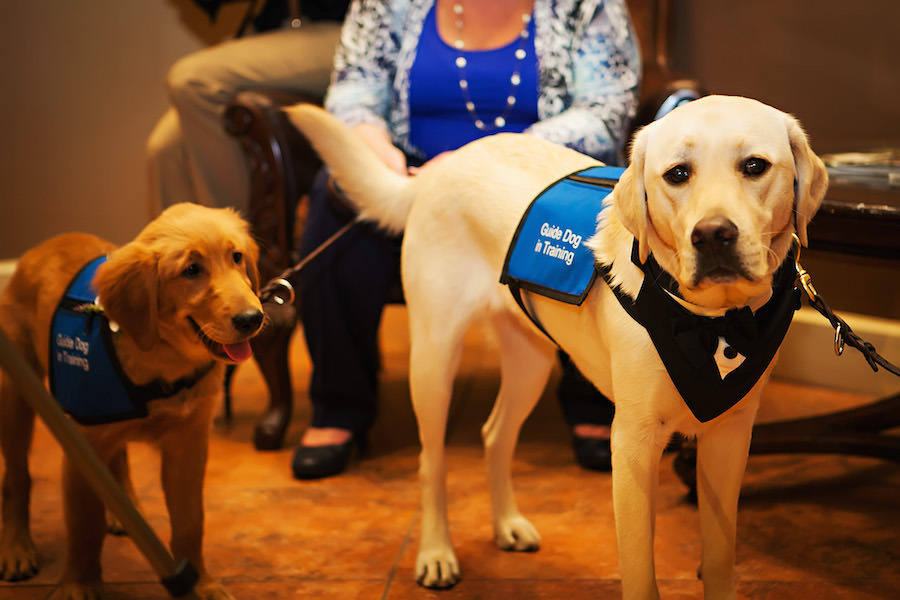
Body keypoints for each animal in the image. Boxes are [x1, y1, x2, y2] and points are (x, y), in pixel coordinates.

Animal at [0, 203, 262, 600]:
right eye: (191, 270)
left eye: (237, 257)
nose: (253, 319)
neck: (164, 363)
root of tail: (38, 249)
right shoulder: (83, 446)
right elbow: (84, 525)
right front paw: (78, 584)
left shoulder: (188, 442)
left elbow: (190, 523)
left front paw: (201, 584)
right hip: (16, 393)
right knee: (17, 478)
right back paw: (17, 548)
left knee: (119, 460)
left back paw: (124, 511)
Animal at [284, 96, 828, 596]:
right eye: (677, 174)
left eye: (754, 166)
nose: (713, 235)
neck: (713, 320)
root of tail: (445, 162)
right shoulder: (632, 446)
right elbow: (640, 572)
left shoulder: (730, 439)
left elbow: (719, 558)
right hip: (434, 360)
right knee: (431, 462)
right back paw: (436, 552)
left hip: (530, 361)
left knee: (494, 435)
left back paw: (506, 524)